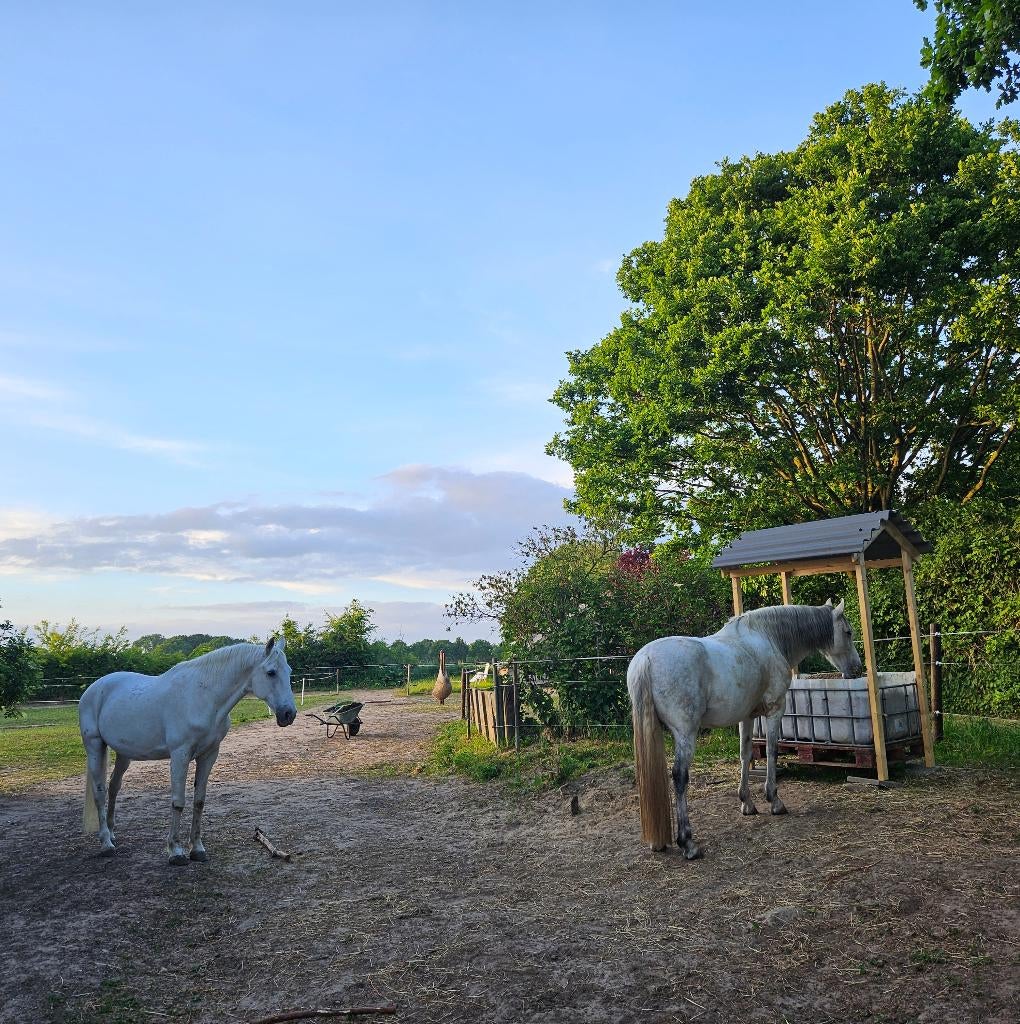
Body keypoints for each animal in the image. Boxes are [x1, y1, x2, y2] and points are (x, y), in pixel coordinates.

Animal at [79, 637, 297, 865]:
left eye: (289, 671)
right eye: (271, 672)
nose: (289, 714)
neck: (203, 695)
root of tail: (93, 688)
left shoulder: (209, 755)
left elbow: (199, 801)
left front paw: (197, 849)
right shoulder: (179, 755)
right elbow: (178, 801)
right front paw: (175, 851)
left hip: (124, 754)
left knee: (113, 787)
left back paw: (112, 834)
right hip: (94, 746)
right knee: (100, 792)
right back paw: (106, 844)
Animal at [628, 601, 863, 858]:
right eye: (848, 632)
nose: (857, 669)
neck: (768, 637)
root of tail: (646, 659)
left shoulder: (747, 717)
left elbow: (745, 754)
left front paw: (747, 803)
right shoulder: (775, 709)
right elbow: (771, 751)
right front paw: (774, 800)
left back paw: (659, 842)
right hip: (685, 733)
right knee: (680, 776)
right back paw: (687, 843)